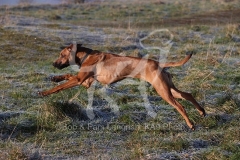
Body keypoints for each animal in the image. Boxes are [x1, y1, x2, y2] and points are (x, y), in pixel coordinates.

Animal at [38, 43, 205, 130]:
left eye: (62, 55)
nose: (53, 64)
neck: (85, 55)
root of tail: (158, 63)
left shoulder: (80, 80)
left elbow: (60, 86)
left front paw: (45, 92)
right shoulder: (85, 82)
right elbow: (66, 76)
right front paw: (55, 78)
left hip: (163, 91)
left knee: (180, 106)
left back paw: (190, 124)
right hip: (168, 88)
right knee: (187, 94)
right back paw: (201, 111)